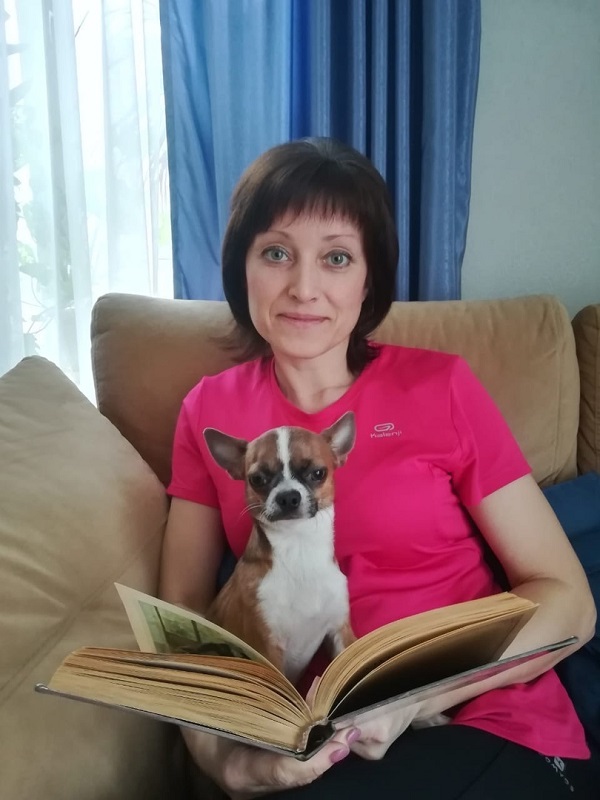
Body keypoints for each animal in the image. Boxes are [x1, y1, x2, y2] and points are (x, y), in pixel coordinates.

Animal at [203, 412, 357, 683]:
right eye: (257, 479)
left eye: (318, 473)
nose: (288, 496)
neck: (299, 548)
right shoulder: (268, 649)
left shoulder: (340, 631)